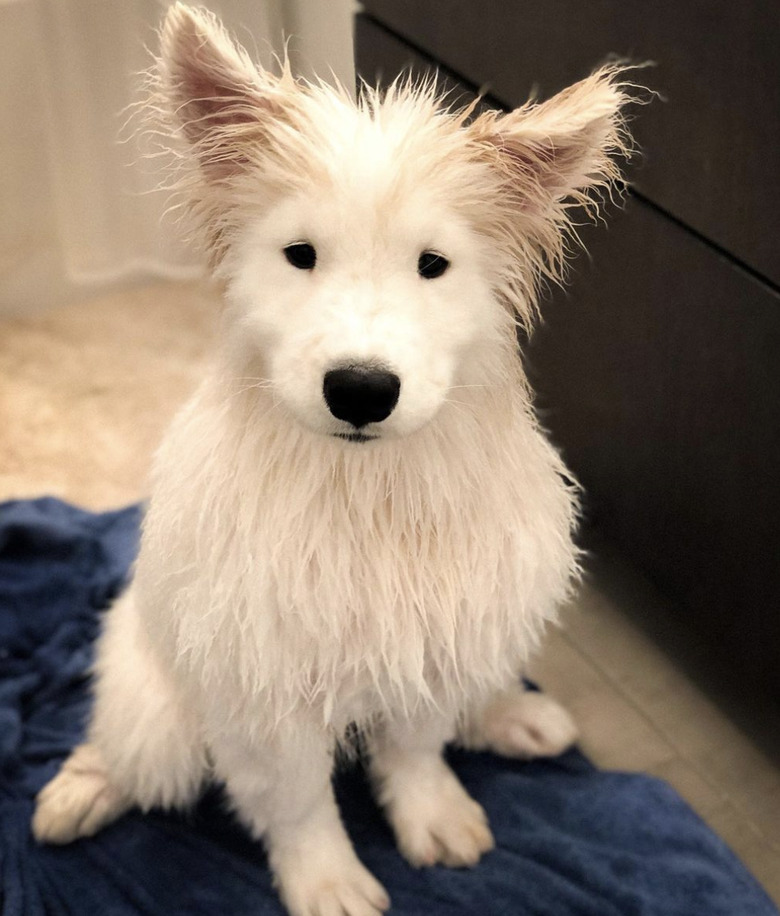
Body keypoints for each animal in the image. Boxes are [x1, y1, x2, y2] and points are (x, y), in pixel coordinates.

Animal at [32, 8, 632, 916]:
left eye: (433, 265)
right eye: (300, 254)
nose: (360, 390)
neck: (362, 492)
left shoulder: (428, 643)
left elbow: (416, 749)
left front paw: (432, 817)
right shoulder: (262, 691)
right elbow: (299, 801)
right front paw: (328, 881)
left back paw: (512, 717)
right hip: (157, 696)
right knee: (131, 745)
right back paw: (81, 790)